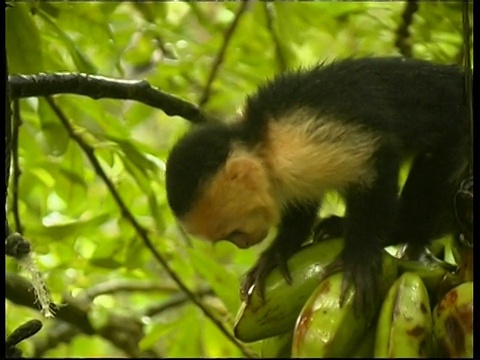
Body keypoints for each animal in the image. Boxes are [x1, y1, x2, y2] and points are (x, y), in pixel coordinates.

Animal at [165, 56, 468, 312]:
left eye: (233, 232)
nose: (243, 244)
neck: (262, 141)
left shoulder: (299, 143)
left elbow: (377, 155)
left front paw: (360, 254)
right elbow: (301, 204)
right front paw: (277, 252)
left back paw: (395, 229)